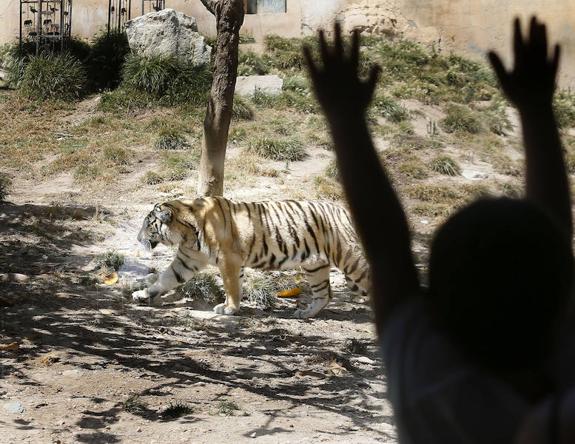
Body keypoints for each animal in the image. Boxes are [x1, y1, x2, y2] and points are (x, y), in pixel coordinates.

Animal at [132, 196, 368, 318]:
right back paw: (305, 313)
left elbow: (231, 287)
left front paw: (228, 308)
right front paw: (143, 293)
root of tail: (344, 211)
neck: (186, 233)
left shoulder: (228, 260)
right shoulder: (186, 260)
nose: (137, 238)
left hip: (351, 260)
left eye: (148, 224)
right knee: (325, 294)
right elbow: (165, 279)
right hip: (315, 266)